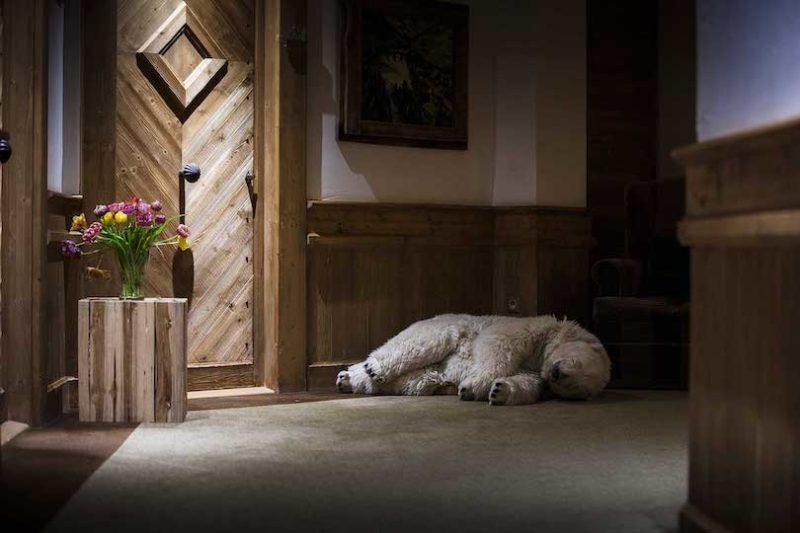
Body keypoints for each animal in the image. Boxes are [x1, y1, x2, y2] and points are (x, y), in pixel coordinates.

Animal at [336, 314, 610, 405]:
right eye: (576, 362)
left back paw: (350, 379)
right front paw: (473, 385)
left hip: (431, 372)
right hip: (445, 327)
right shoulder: (529, 329)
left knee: (417, 380)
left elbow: (526, 382)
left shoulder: (535, 370)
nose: (556, 373)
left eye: (575, 385)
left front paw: (499, 391)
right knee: (419, 346)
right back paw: (368, 370)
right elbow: (498, 344)